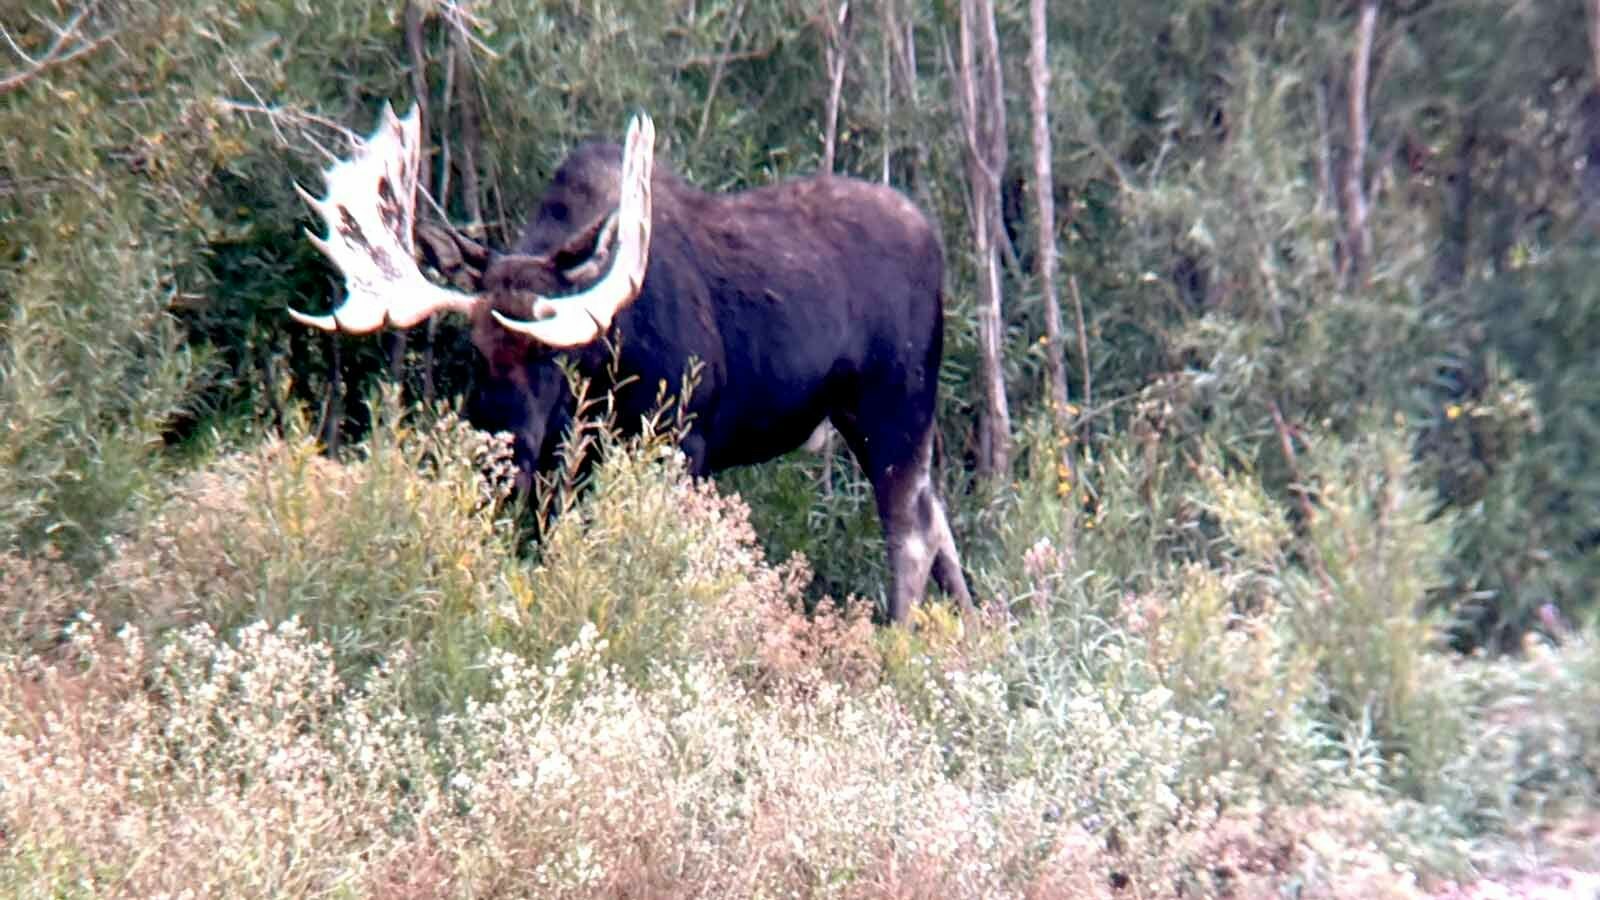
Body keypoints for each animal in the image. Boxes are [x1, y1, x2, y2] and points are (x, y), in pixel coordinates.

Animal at [289, 103, 971, 623]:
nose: (503, 447)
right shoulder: (570, 458)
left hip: (895, 403)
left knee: (910, 531)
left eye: (554, 353)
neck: (608, 369)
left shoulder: (683, 440)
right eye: (474, 347)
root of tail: (936, 239)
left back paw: (898, 641)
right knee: (937, 519)